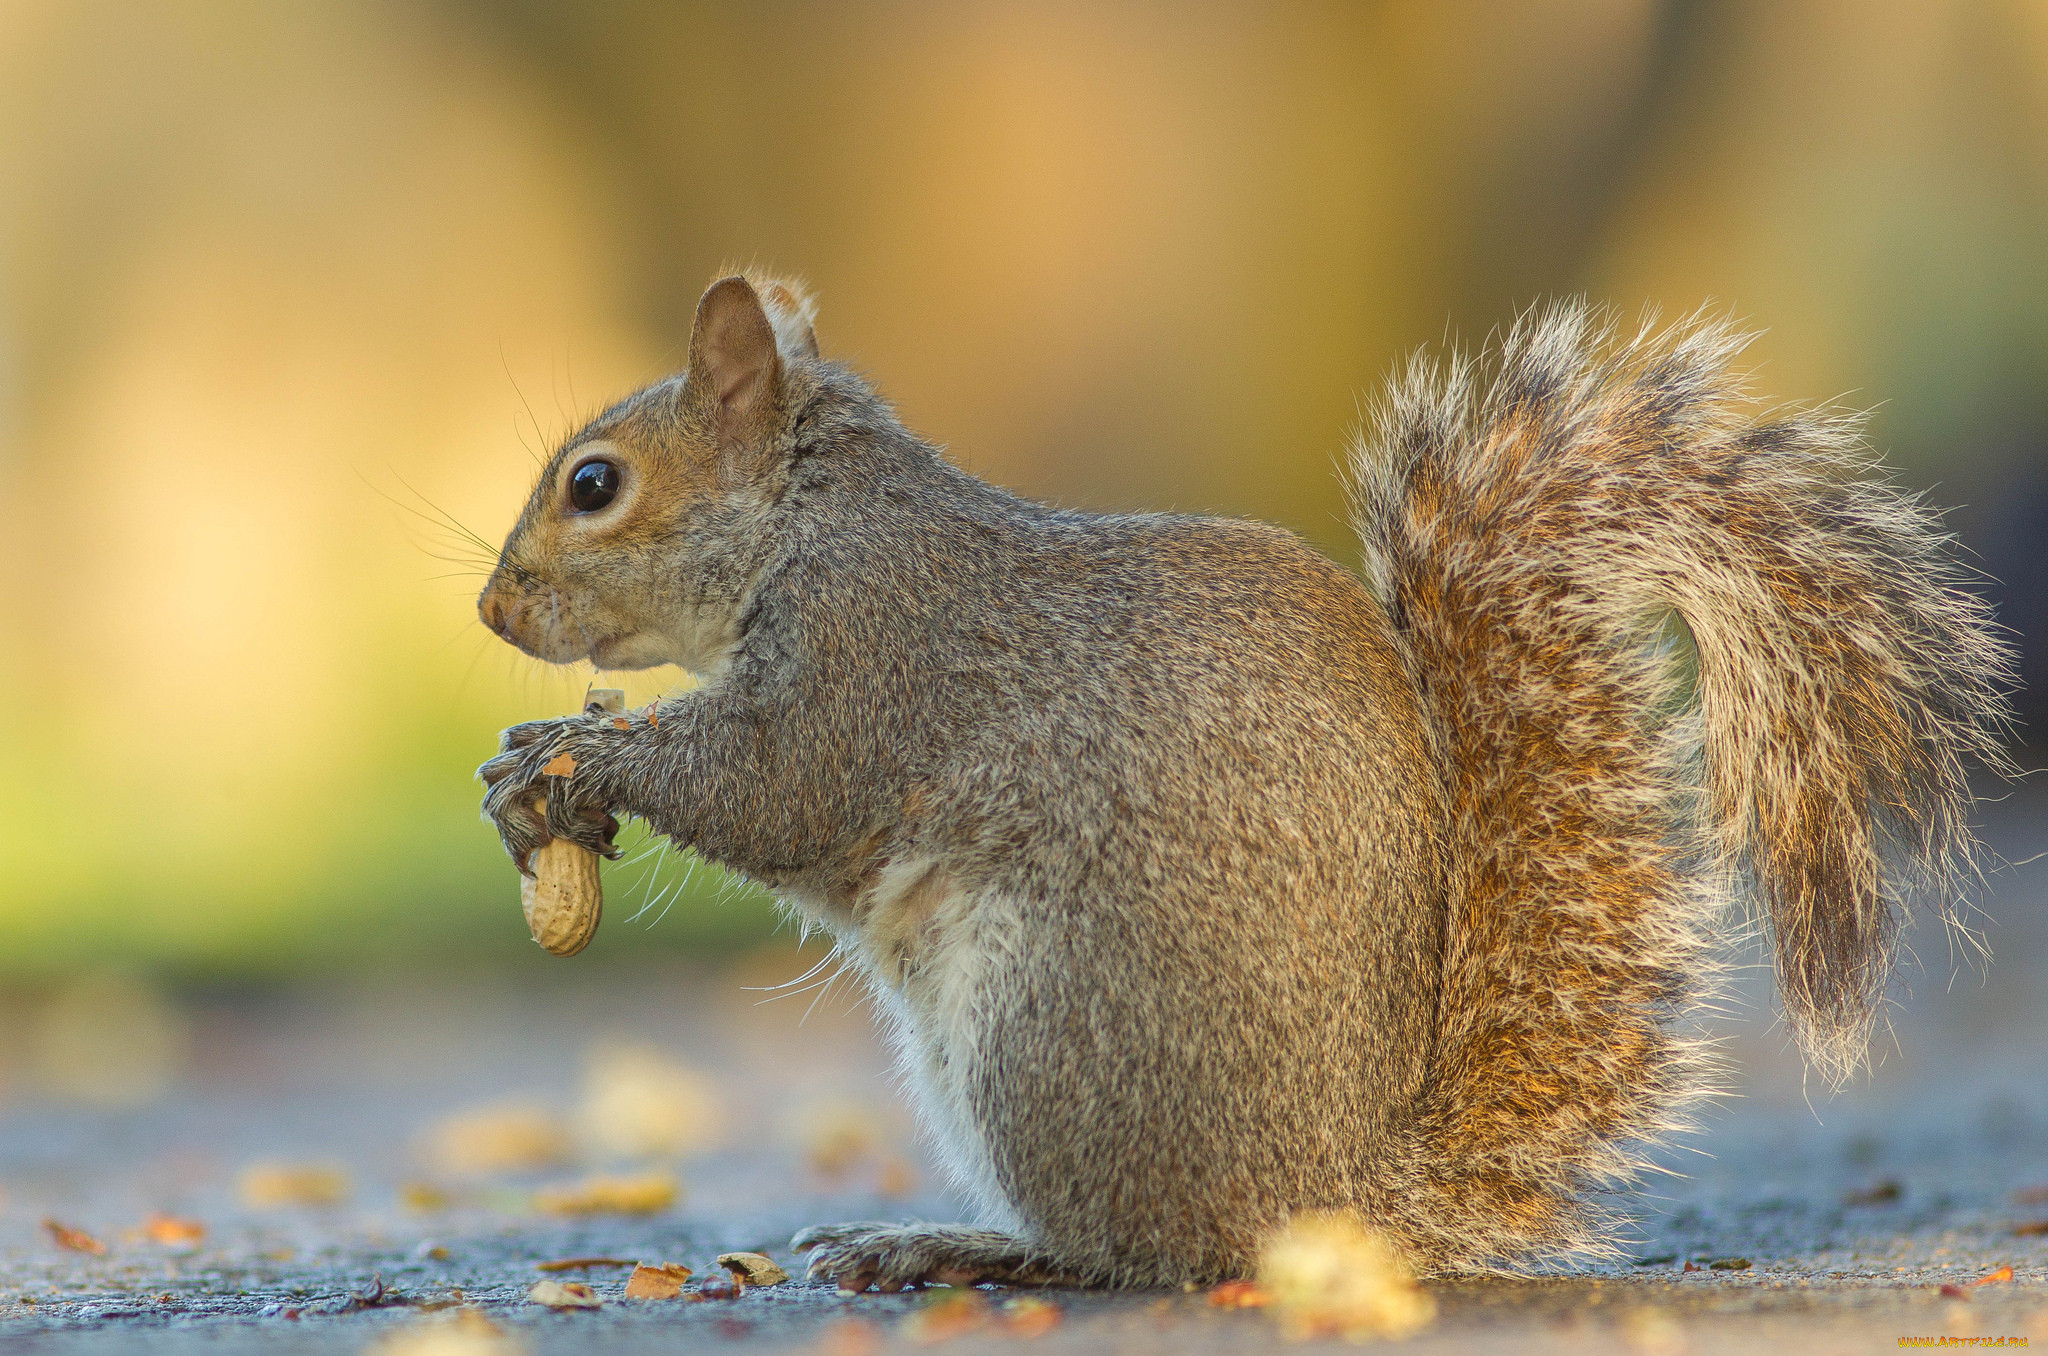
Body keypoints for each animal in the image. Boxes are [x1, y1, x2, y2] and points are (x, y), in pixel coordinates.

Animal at [479, 270, 2015, 1294]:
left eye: (595, 485)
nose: (494, 611)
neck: (811, 516)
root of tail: (1343, 1195)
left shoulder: (872, 653)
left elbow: (772, 783)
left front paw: (569, 757)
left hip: (1053, 1030)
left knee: (1146, 1251)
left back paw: (956, 1246)